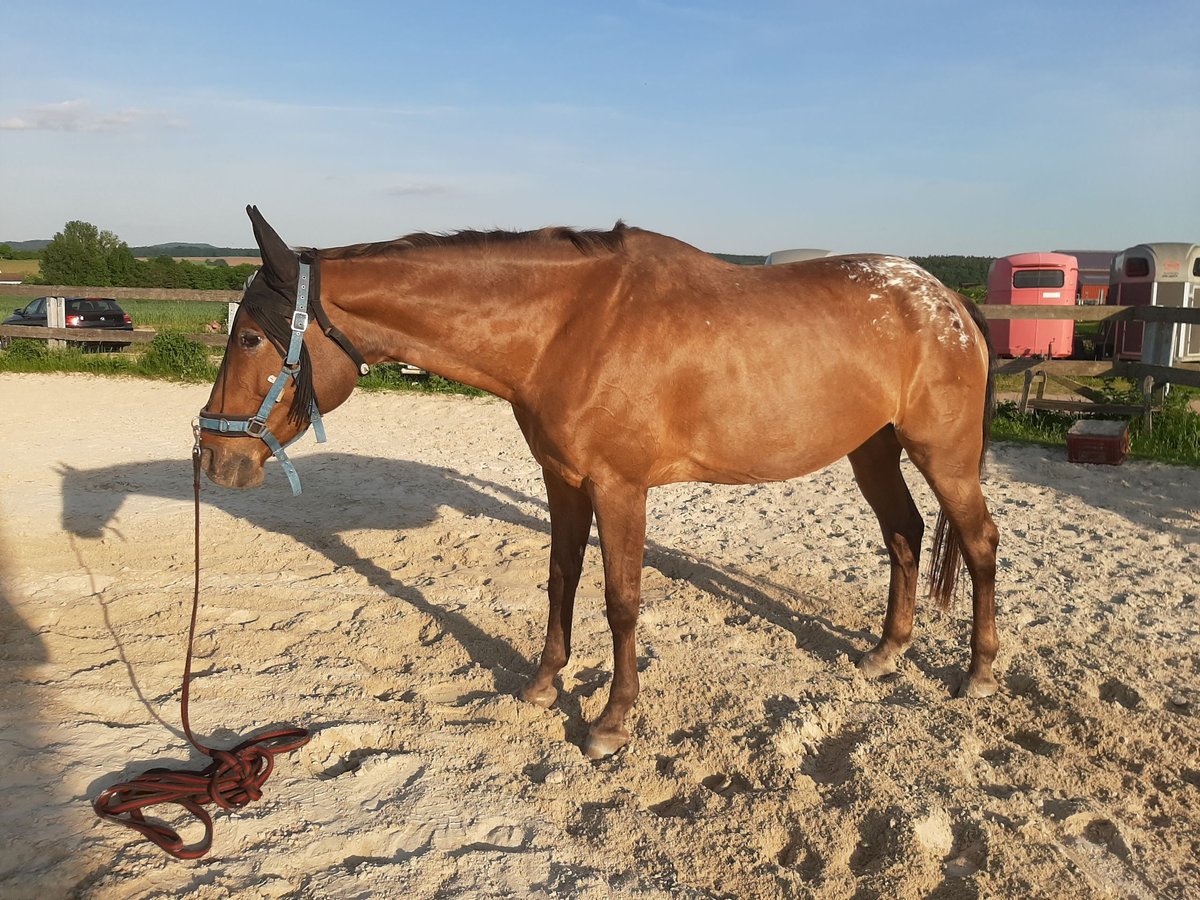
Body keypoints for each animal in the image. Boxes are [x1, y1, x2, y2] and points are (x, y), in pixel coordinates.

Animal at [201, 210, 998, 763]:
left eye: (249, 337)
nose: (213, 456)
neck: (569, 326)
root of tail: (945, 300)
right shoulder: (563, 482)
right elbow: (562, 576)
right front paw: (543, 683)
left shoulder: (620, 489)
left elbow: (621, 601)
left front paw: (611, 722)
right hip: (873, 451)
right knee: (905, 534)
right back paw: (886, 653)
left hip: (944, 455)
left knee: (980, 543)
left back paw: (980, 672)